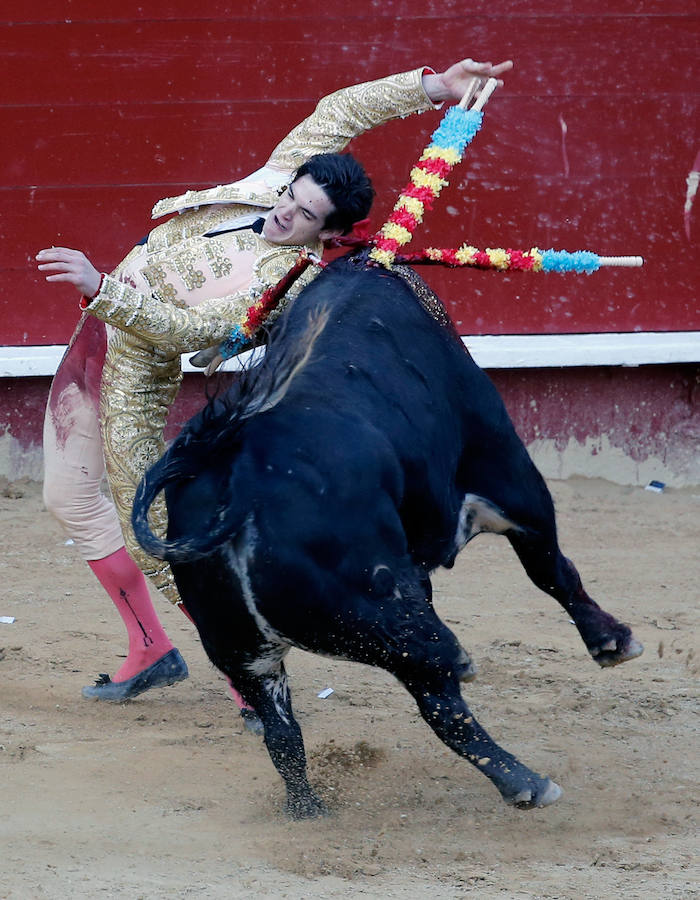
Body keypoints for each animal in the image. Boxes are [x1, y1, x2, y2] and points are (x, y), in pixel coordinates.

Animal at [134, 253, 644, 816]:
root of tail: (236, 479)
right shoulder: (511, 479)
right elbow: (553, 570)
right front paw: (612, 641)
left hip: (244, 653)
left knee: (288, 735)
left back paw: (309, 809)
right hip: (382, 610)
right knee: (434, 681)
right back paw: (520, 770)